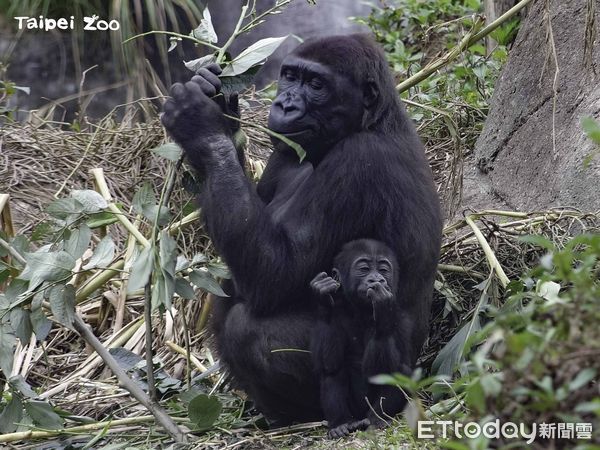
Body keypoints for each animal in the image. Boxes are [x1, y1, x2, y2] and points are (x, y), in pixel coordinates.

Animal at [310, 241, 408, 438]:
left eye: (383, 270)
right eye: (364, 269)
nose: (377, 279)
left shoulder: (402, 318)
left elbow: (385, 370)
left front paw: (383, 307)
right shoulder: (338, 312)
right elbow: (328, 362)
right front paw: (322, 296)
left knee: (401, 371)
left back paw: (376, 419)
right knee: (333, 372)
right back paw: (340, 423)